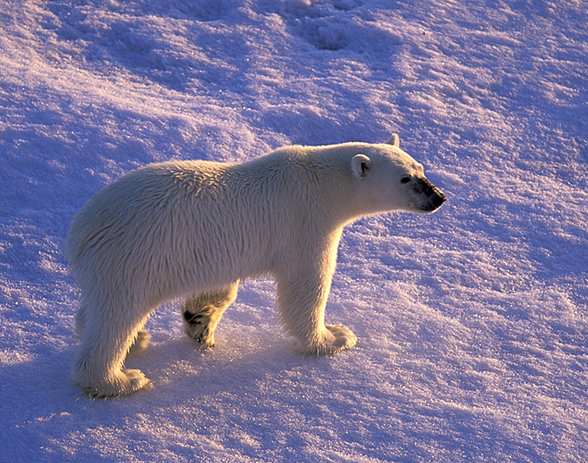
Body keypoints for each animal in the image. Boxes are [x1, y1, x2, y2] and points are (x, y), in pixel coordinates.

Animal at [66, 135, 444, 398]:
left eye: (421, 169)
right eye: (405, 179)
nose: (438, 197)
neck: (320, 182)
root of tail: (81, 230)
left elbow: (219, 289)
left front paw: (200, 321)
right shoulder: (304, 222)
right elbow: (306, 286)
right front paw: (333, 337)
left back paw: (136, 341)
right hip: (133, 258)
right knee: (117, 318)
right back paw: (119, 379)